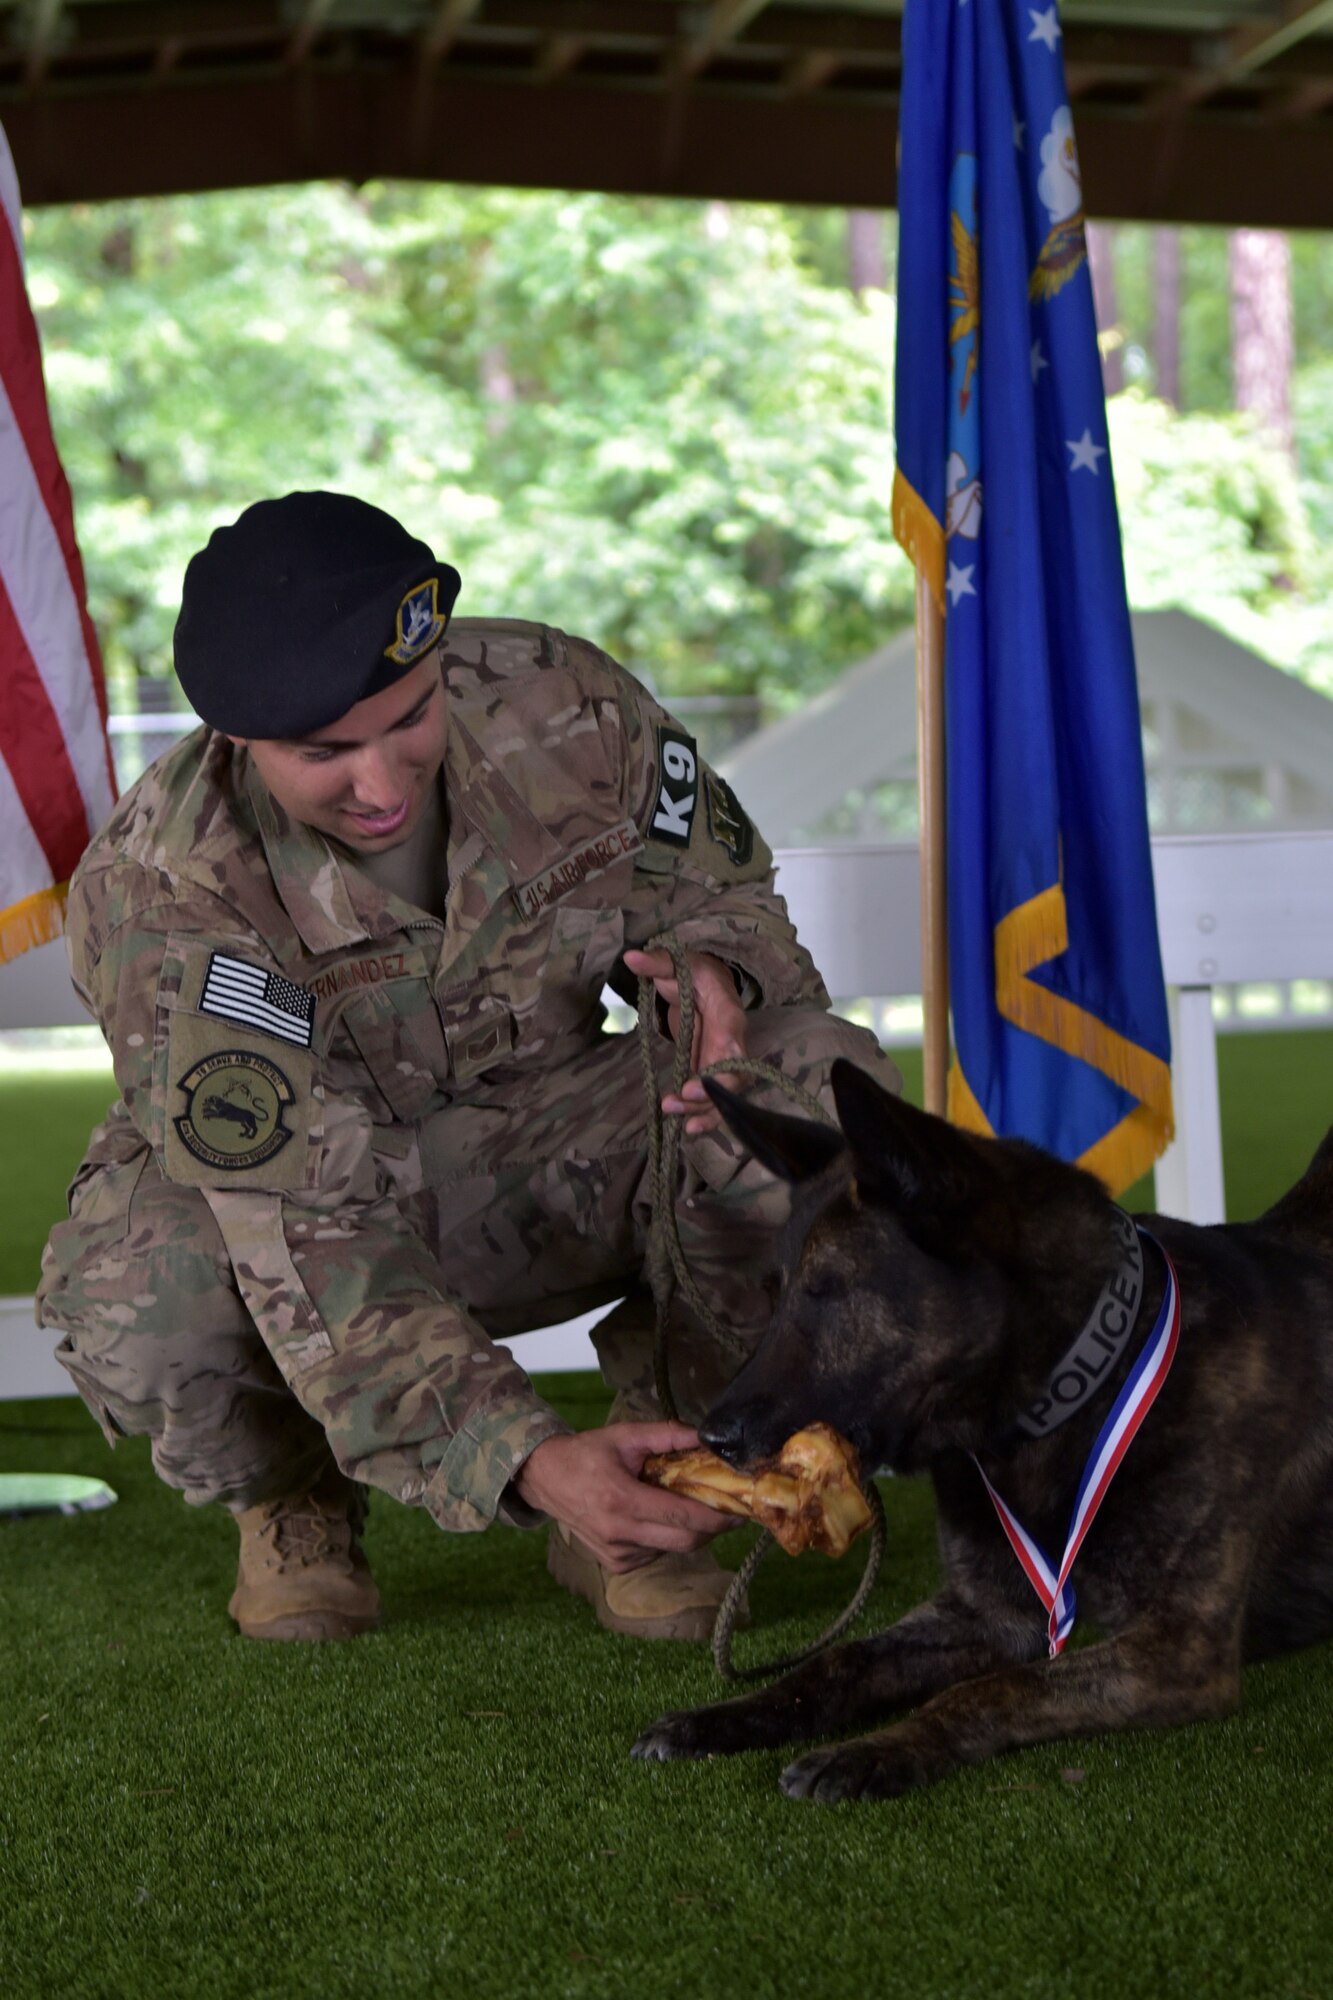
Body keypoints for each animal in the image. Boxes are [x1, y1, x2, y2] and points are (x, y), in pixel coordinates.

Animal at [628, 1072, 1328, 1808]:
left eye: (828, 1290)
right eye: (776, 1290)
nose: (713, 1436)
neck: (1067, 1398)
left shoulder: (1176, 1649)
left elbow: (991, 1689)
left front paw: (877, 1748)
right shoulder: (982, 1613)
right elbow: (838, 1661)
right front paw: (728, 1716)